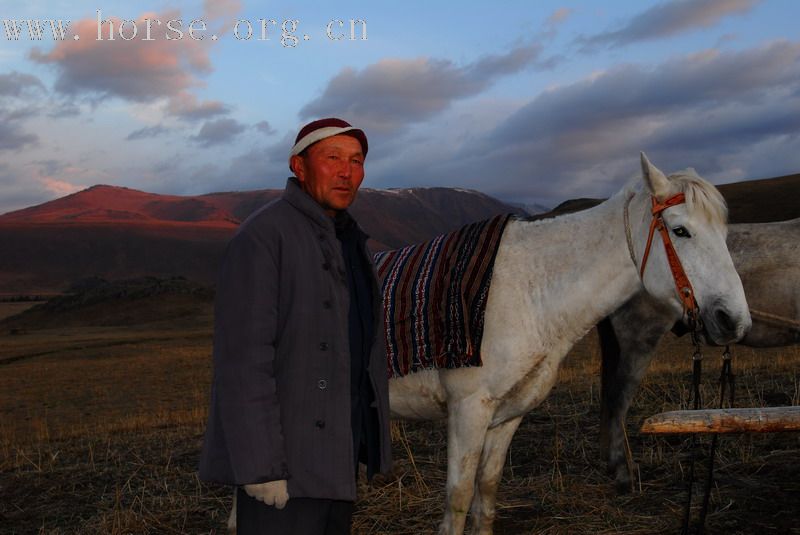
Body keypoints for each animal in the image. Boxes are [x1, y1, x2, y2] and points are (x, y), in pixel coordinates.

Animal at [223, 153, 752, 532]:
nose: (733, 321)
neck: (531, 293)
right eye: (680, 230)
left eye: (724, 232)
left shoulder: (506, 418)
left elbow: (487, 497)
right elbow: (457, 504)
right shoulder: (468, 411)